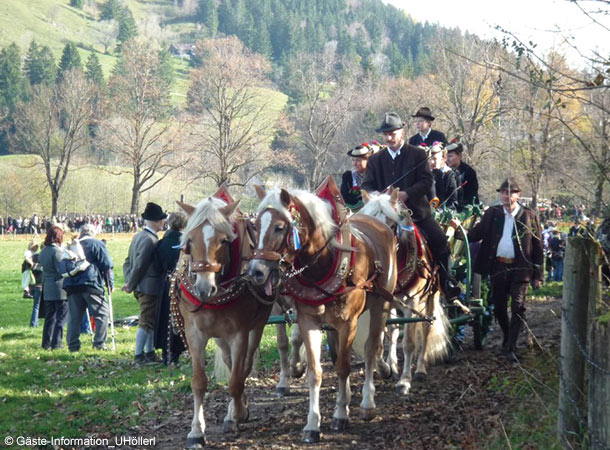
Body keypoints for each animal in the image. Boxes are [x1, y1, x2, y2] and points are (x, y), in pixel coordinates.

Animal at [171, 195, 276, 448]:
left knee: (244, 366)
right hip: (219, 336)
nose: (203, 288)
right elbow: (199, 382)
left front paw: (236, 414)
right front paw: (196, 430)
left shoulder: (240, 333)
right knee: (230, 363)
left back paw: (236, 411)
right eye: (190, 240)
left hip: (257, 328)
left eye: (224, 241)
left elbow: (236, 381)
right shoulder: (194, 333)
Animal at [245, 183, 396, 442]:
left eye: (279, 227)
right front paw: (313, 424)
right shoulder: (309, 321)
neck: (323, 263)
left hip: (381, 306)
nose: (256, 271)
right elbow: (315, 372)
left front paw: (340, 415)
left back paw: (367, 402)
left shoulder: (349, 322)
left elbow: (344, 367)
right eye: (254, 227)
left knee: (370, 350)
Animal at [356, 188, 452, 396]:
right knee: (393, 329)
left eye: (392, 225)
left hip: (431, 298)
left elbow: (408, 343)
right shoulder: (380, 303)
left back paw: (420, 369)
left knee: (426, 328)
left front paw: (405, 381)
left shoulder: (411, 303)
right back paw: (392, 365)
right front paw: (384, 368)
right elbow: (378, 338)